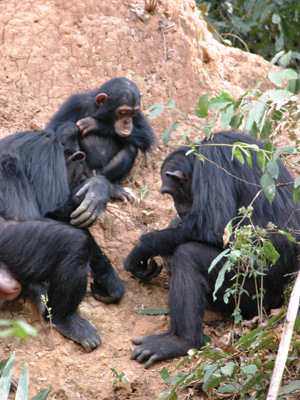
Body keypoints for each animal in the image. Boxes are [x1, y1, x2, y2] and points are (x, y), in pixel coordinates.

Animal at [0, 128, 125, 350]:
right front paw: (99, 188)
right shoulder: (45, 149)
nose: (80, 183)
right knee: (74, 245)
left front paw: (109, 281)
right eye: (82, 176)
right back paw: (65, 320)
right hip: (12, 243)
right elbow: (53, 208)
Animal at [46, 77, 157, 205]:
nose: (127, 122)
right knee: (69, 128)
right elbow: (52, 130)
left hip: (100, 172)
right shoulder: (75, 104)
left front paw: (95, 124)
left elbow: (146, 135)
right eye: (122, 112)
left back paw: (109, 186)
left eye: (132, 113)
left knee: (131, 147)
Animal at [123, 131, 300, 368]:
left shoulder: (211, 165)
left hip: (251, 286)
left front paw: (143, 247)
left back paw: (180, 341)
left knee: (188, 256)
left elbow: (214, 226)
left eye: (172, 194)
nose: (178, 209)